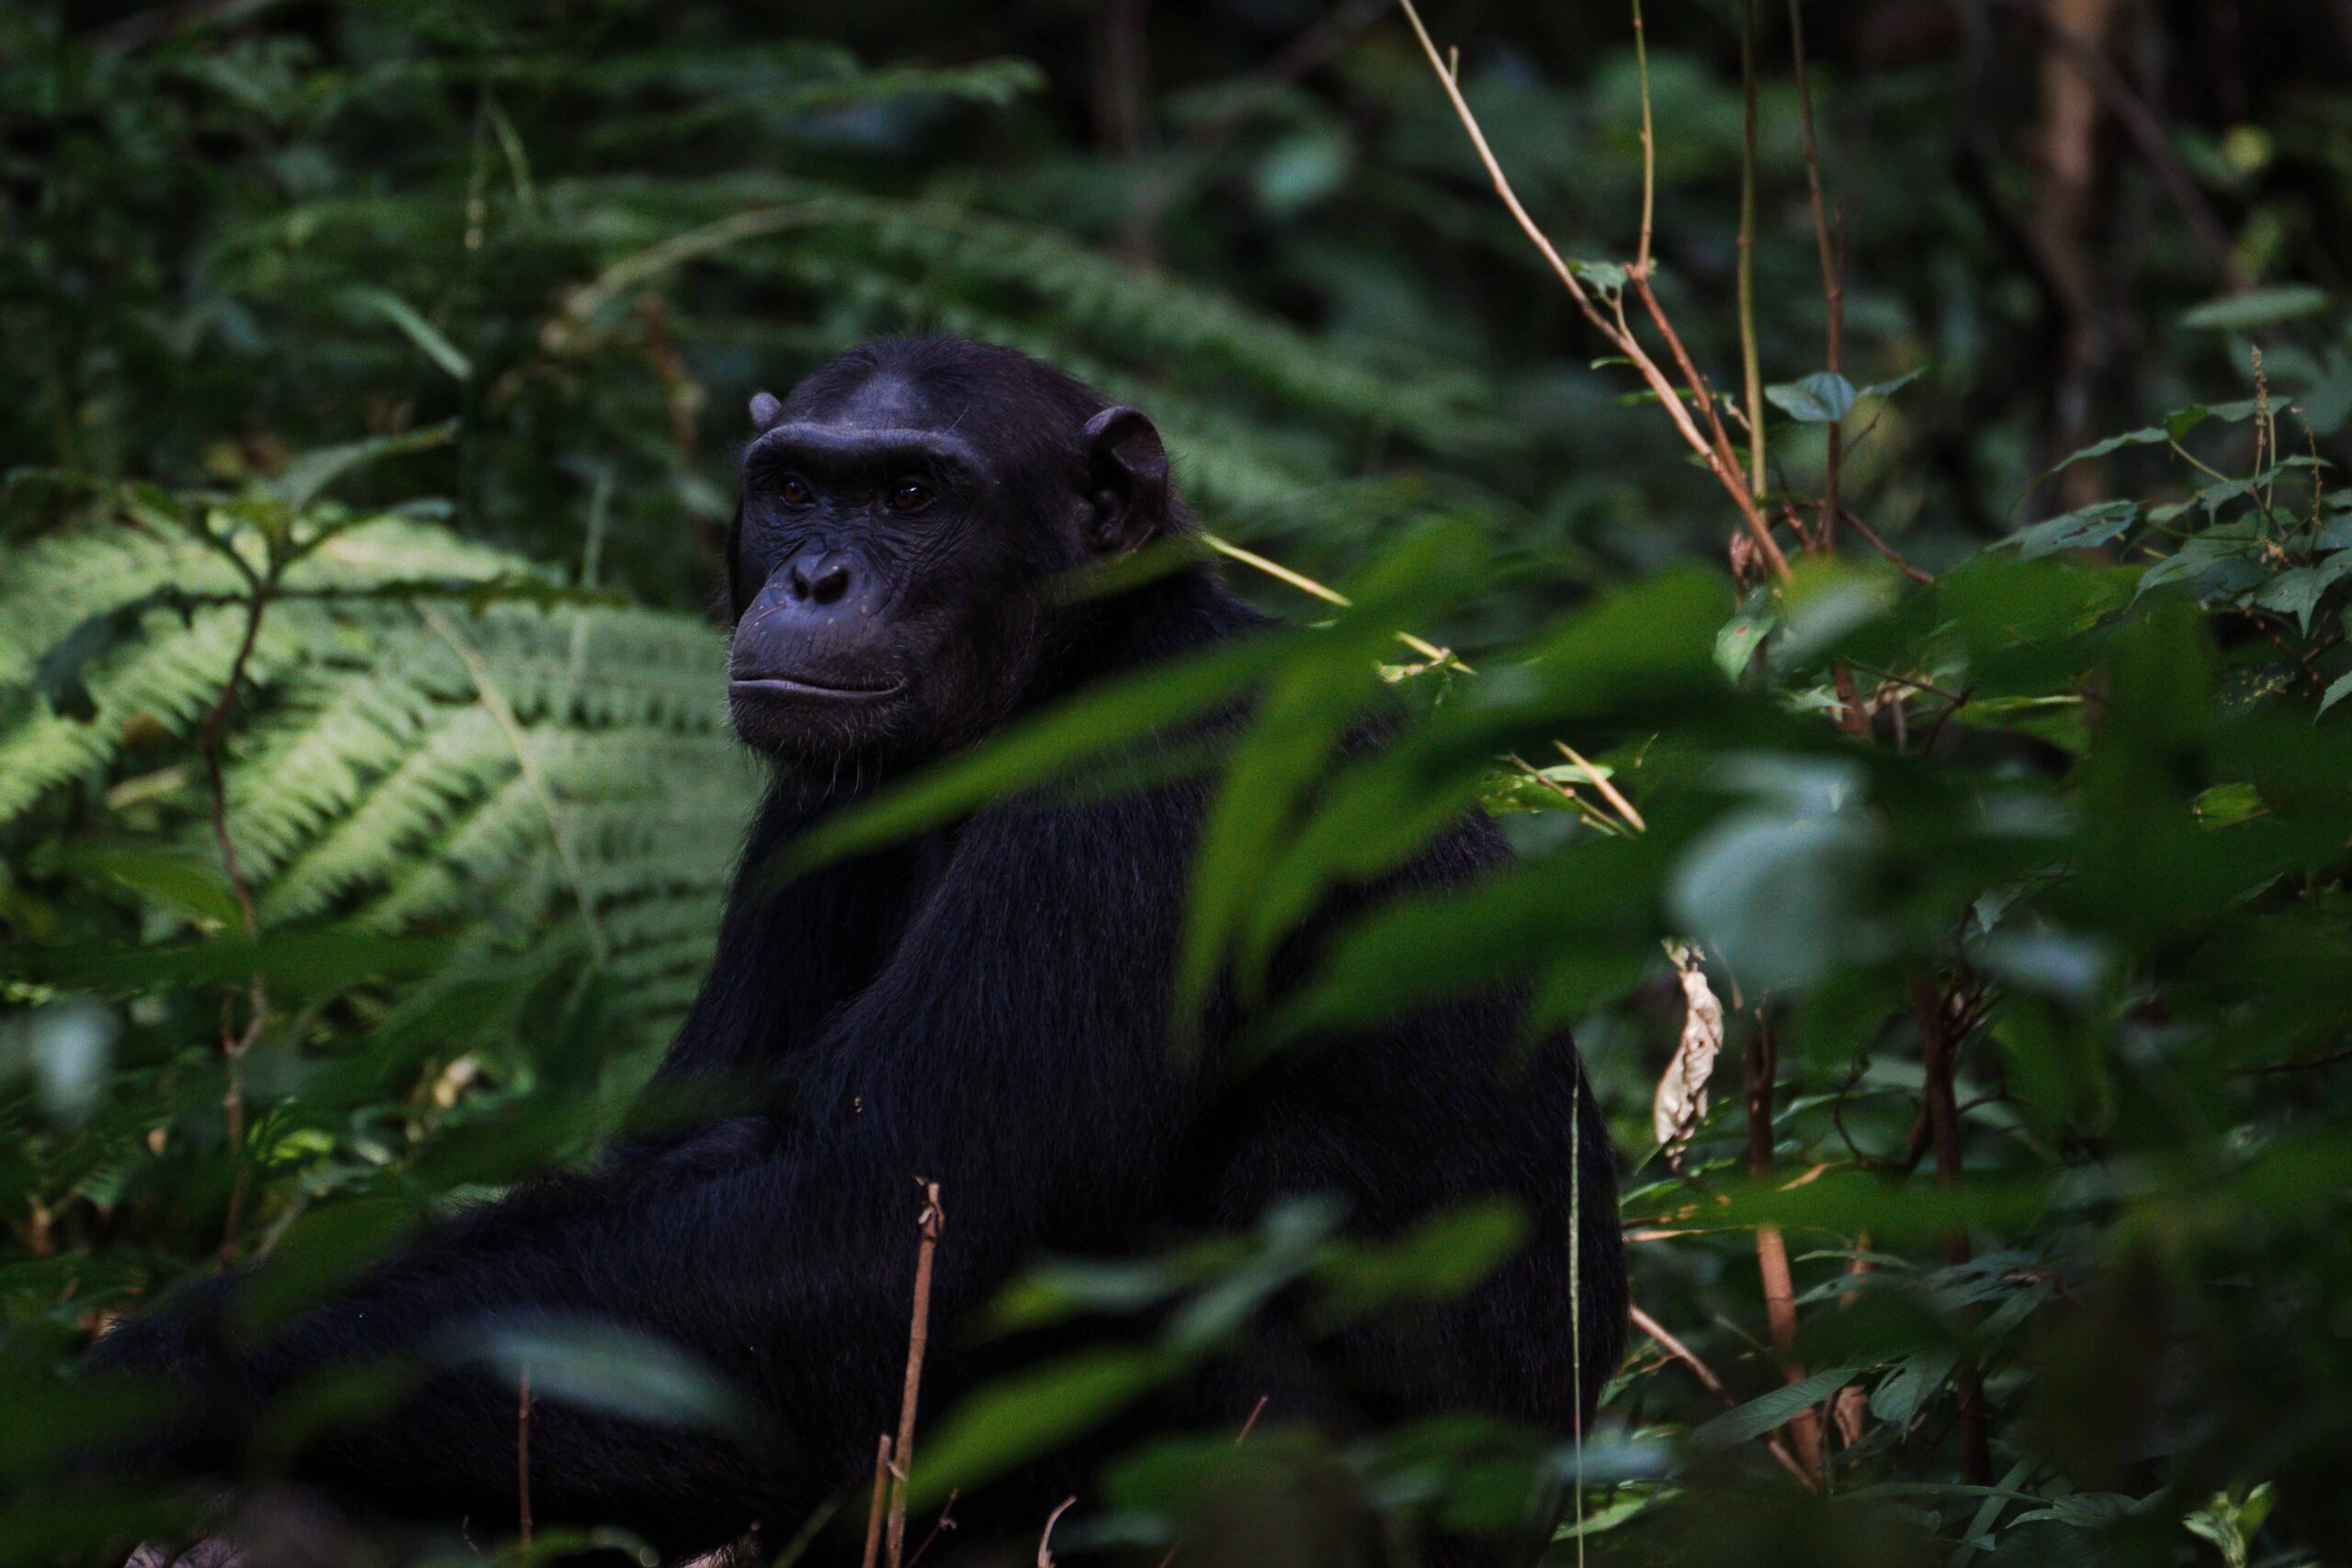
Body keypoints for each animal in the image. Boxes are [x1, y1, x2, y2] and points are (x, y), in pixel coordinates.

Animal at [83, 338, 1627, 1561]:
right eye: (795, 488)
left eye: (911, 497)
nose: (819, 575)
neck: (1060, 670)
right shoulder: (810, 814)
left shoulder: (1146, 796)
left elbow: (854, 1227)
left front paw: (145, 1381)